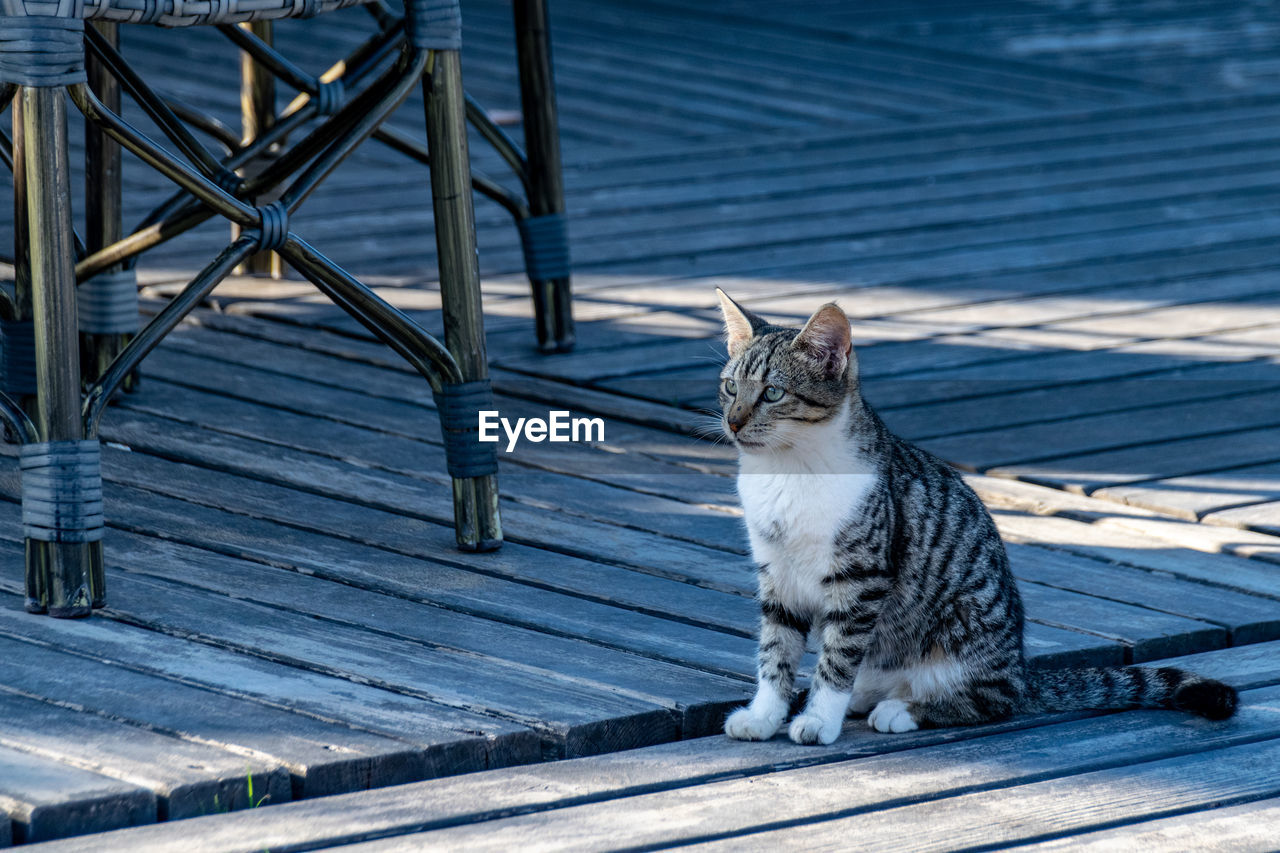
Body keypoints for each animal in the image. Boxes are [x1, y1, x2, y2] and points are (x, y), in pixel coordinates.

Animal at [716, 289, 1233, 742]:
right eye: (729, 387)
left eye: (773, 393)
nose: (733, 421)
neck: (788, 471)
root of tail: (1021, 670)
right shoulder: (776, 576)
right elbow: (775, 651)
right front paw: (764, 715)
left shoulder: (862, 579)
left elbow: (837, 658)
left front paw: (820, 719)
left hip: (964, 631)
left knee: (991, 699)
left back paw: (902, 709)